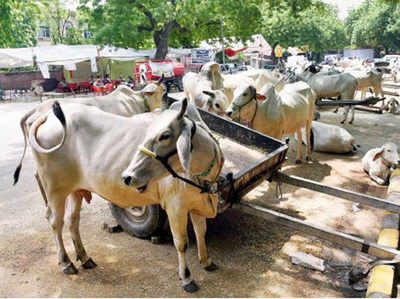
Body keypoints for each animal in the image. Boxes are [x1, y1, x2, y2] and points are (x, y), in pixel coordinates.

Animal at [17, 99, 223, 292]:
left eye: (164, 135)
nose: (127, 176)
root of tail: (47, 116)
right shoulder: (175, 206)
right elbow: (181, 243)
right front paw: (187, 278)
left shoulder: (197, 204)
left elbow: (201, 232)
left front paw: (206, 261)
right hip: (54, 190)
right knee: (55, 222)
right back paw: (66, 262)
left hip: (75, 190)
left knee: (72, 220)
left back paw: (84, 258)